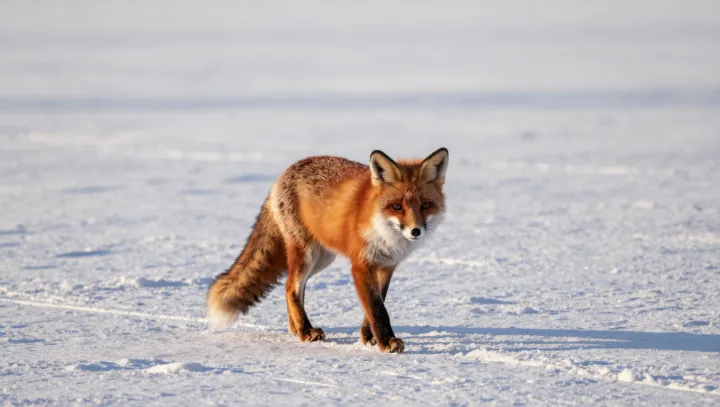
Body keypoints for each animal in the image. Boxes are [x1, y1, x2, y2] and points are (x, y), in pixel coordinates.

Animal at [207, 147, 449, 353]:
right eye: (397, 206)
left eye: (426, 205)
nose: (415, 231)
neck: (385, 233)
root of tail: (286, 172)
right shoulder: (361, 265)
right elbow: (377, 309)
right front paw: (387, 342)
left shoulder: (387, 266)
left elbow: (376, 305)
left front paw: (368, 337)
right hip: (306, 254)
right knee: (291, 287)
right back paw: (305, 330)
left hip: (322, 259)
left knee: (290, 286)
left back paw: (296, 328)